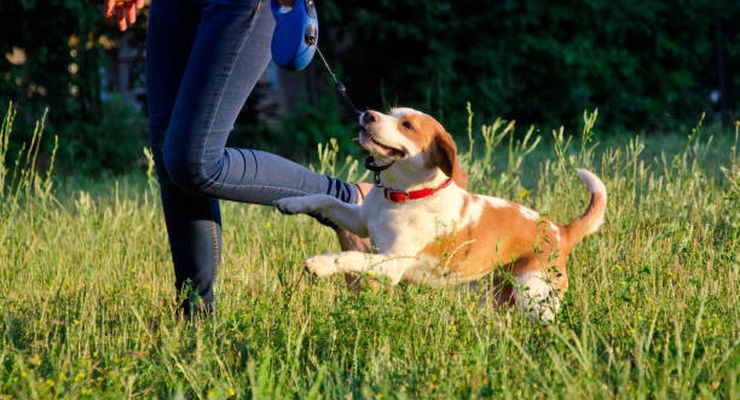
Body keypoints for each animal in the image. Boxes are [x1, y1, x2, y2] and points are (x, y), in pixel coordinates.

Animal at [274, 108, 604, 320]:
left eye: (407, 125)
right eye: (390, 112)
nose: (367, 114)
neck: (402, 196)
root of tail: (561, 230)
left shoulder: (392, 264)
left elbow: (349, 256)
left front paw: (320, 263)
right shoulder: (360, 223)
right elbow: (326, 199)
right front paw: (291, 202)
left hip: (535, 297)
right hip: (501, 297)